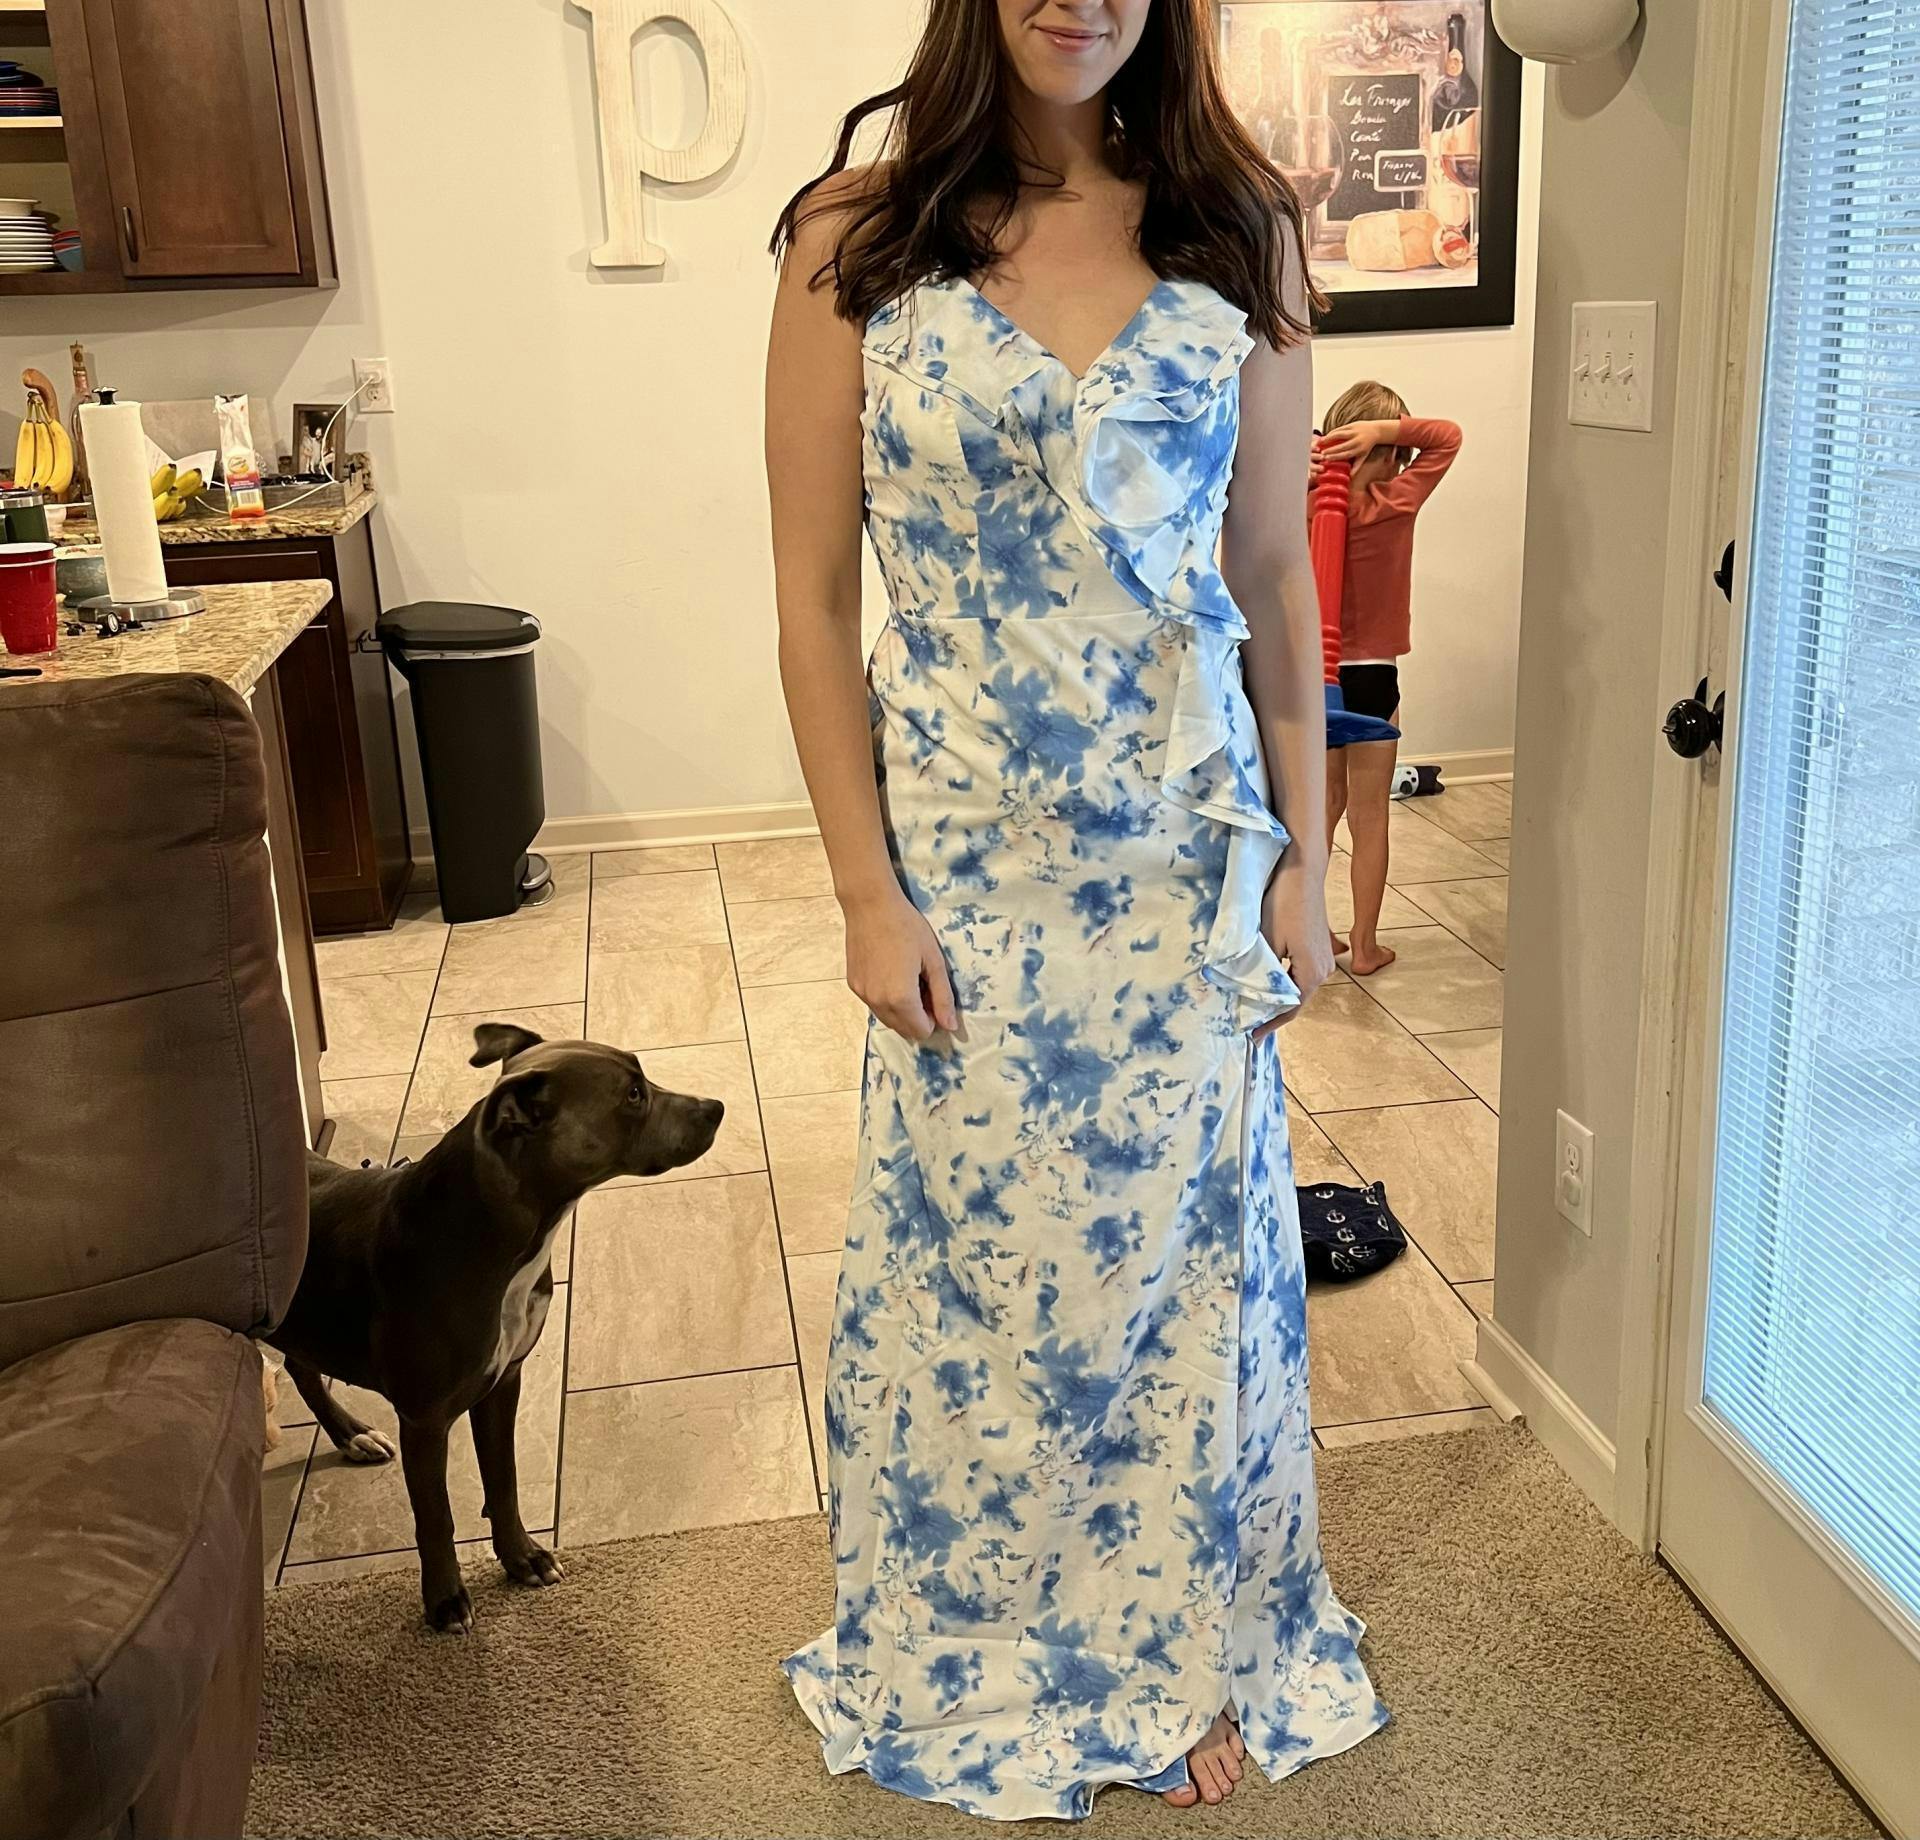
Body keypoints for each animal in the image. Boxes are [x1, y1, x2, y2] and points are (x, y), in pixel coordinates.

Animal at [267, 1023, 724, 1632]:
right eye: (632, 1095)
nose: (716, 1108)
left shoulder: (504, 1382)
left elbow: (502, 1481)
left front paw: (522, 1557)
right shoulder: (425, 1420)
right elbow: (436, 1517)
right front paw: (444, 1601)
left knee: (300, 1363)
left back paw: (349, 1434)